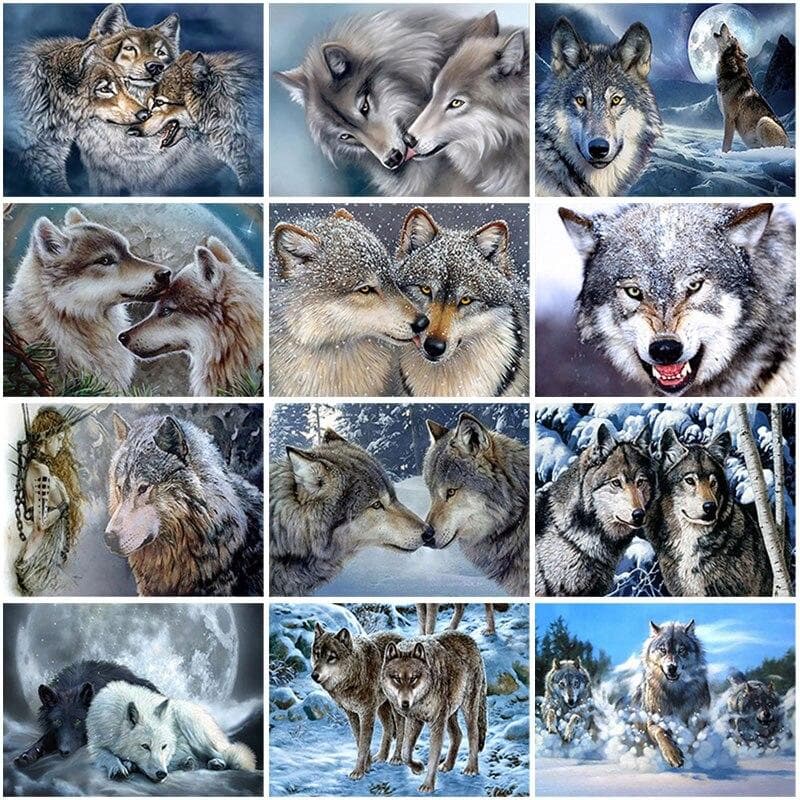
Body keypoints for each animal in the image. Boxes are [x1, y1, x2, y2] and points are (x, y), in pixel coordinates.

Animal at [86, 681, 255, 781]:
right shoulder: (95, 743)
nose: (162, 774)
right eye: (145, 746)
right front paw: (119, 766)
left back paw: (213, 763)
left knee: (225, 754)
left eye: (163, 746)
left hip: (191, 723)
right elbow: (105, 754)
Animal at [311, 624, 404, 778]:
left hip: (395, 707)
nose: (314, 675)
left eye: (331, 657)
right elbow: (359, 740)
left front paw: (358, 772)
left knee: (402, 729)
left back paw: (397, 758)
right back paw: (381, 757)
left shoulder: (367, 713)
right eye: (317, 654)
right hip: (382, 707)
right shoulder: (352, 714)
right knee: (389, 728)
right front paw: (368, 766)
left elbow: (363, 744)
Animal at [381, 632, 487, 793]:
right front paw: (417, 768)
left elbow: (433, 756)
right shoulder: (415, 720)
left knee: (473, 734)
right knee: (457, 735)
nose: (405, 703)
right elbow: (406, 752)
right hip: (449, 714)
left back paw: (471, 768)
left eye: (413, 678)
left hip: (467, 708)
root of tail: (470, 640)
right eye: (397, 679)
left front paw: (428, 785)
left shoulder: (436, 723)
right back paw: (447, 765)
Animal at [631, 620, 711, 768]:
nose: (672, 667)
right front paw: (673, 755)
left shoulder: (699, 719)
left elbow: (693, 738)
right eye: (663, 650)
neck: (675, 692)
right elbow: (661, 732)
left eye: (682, 650)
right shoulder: (654, 721)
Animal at [714, 23, 789, 152]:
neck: (731, 70)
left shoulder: (729, 118)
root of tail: (791, 145)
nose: (724, 23)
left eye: (731, 36)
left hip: (764, 121)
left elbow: (726, 144)